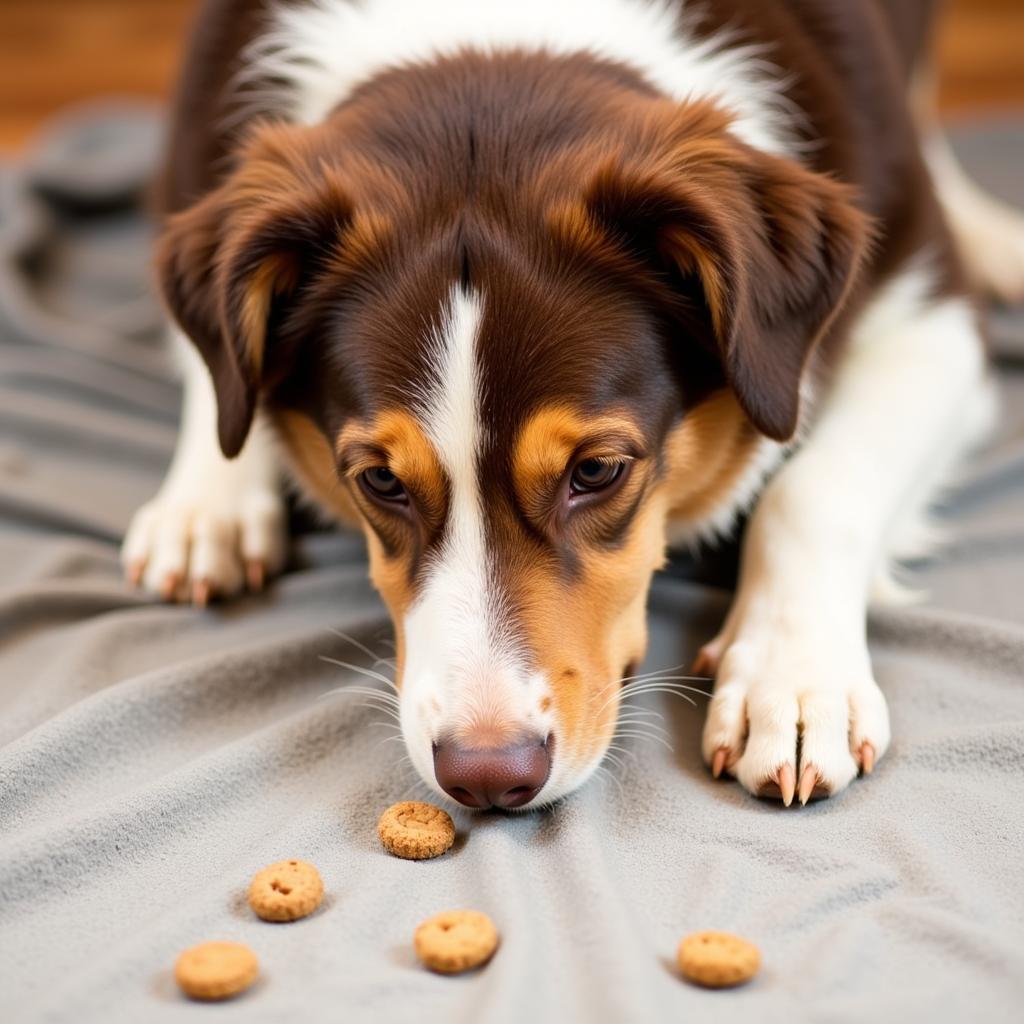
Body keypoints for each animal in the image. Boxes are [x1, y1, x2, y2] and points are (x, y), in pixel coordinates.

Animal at [119, 0, 1015, 811]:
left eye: (598, 471)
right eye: (379, 482)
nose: (487, 778)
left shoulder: (929, 316)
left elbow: (811, 491)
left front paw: (790, 682)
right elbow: (220, 383)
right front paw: (210, 498)